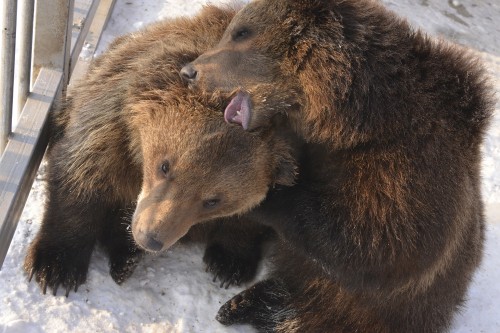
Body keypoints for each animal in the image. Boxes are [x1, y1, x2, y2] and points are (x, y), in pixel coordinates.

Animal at [24, 3, 300, 296]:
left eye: (213, 200)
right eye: (165, 166)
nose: (150, 238)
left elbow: (255, 220)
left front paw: (229, 263)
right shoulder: (112, 124)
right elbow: (80, 177)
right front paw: (55, 266)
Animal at [182, 0, 494, 332]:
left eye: (241, 32)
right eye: (231, 31)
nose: (189, 71)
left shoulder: (408, 173)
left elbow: (373, 241)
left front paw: (269, 197)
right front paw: (227, 259)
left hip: (392, 309)